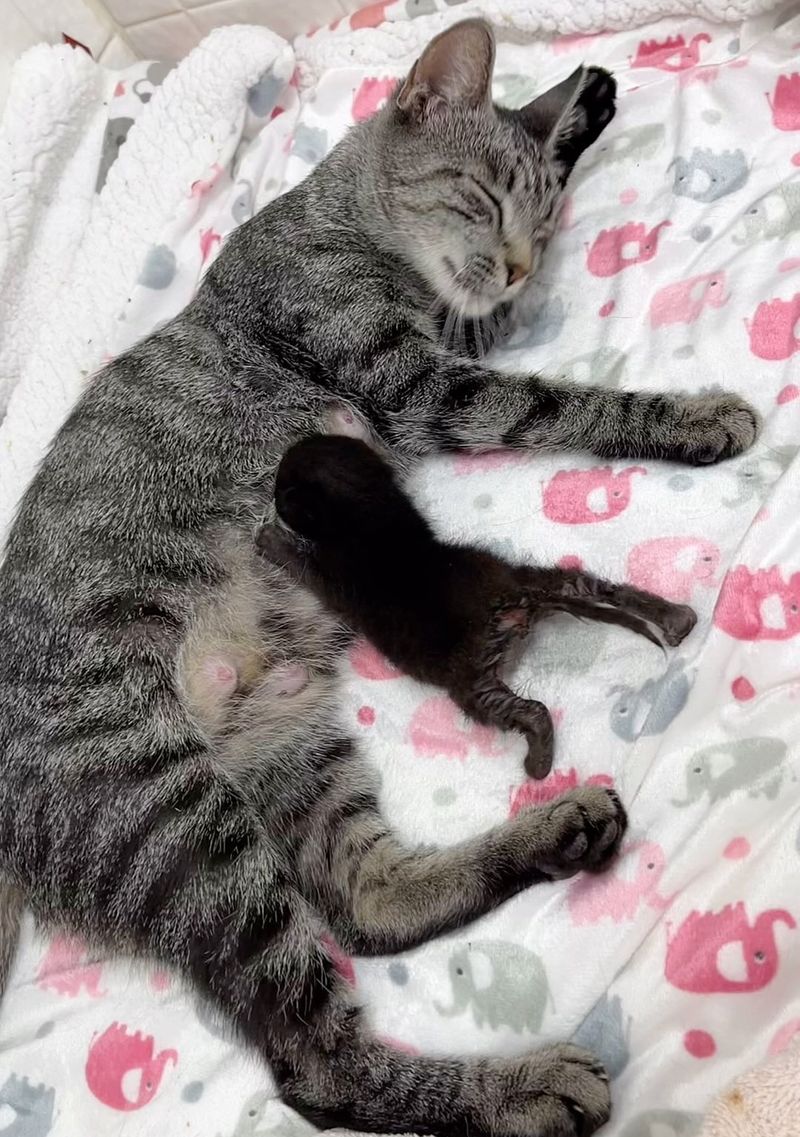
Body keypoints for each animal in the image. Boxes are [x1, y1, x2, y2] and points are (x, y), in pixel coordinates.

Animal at [257, 429, 695, 777]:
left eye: (280, 488)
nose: (272, 494)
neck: (370, 513)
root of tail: (514, 597)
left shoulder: (330, 575)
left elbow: (300, 565)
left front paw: (269, 539)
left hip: (470, 678)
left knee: (531, 709)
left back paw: (538, 765)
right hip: (540, 577)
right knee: (596, 587)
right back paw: (676, 617)